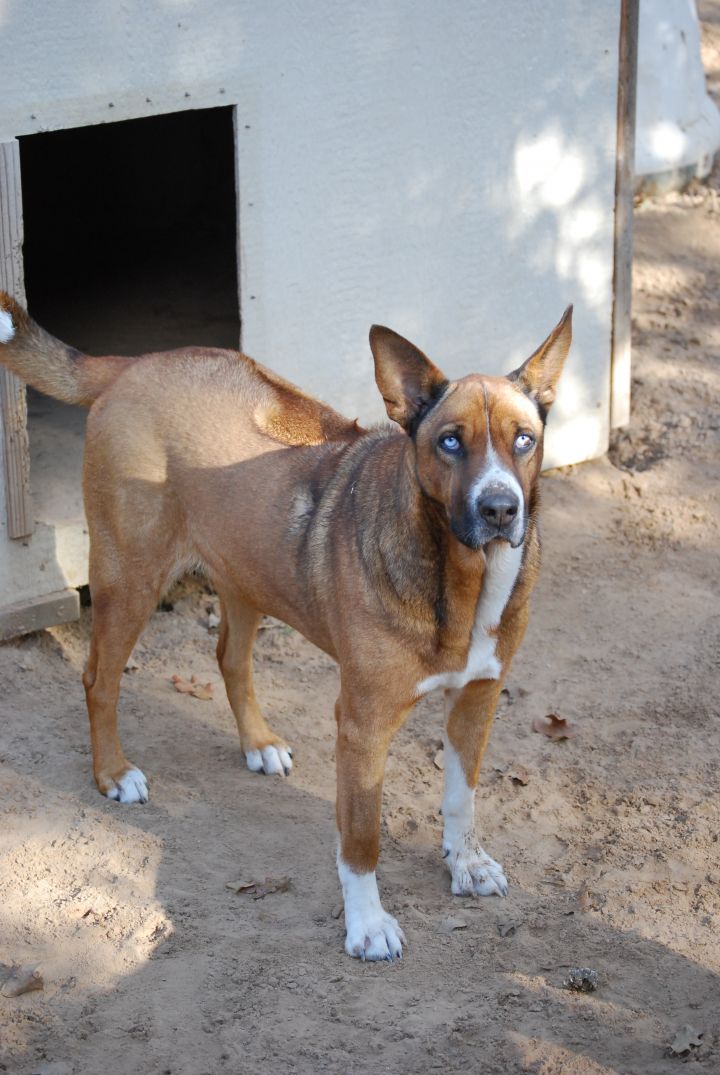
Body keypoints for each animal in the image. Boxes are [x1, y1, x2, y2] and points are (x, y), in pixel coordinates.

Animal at [1, 292, 576, 958]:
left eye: (525, 440)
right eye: (451, 442)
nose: (500, 509)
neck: (463, 580)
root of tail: (134, 364)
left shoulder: (478, 700)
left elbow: (462, 798)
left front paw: (466, 864)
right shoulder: (363, 726)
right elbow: (361, 839)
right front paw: (367, 923)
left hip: (246, 572)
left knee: (228, 657)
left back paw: (258, 743)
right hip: (131, 579)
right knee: (99, 678)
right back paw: (112, 774)